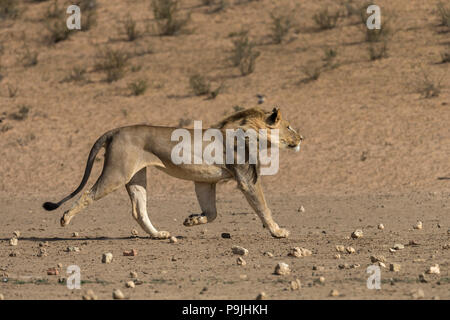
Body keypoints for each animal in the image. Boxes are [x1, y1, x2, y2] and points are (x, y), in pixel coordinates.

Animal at [43, 107, 302, 238]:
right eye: (289, 126)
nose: (301, 137)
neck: (252, 132)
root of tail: (115, 130)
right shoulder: (247, 178)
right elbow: (263, 207)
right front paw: (278, 231)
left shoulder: (205, 182)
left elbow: (213, 213)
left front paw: (192, 220)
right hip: (117, 173)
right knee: (88, 194)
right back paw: (66, 218)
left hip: (136, 177)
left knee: (138, 210)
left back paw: (158, 234)